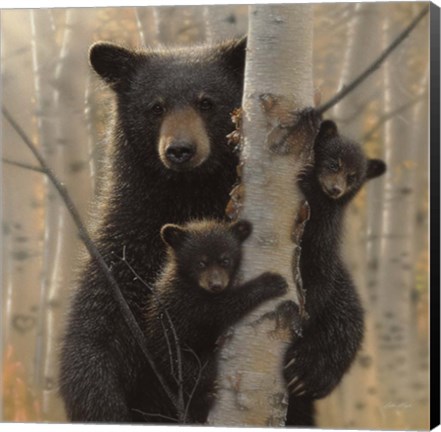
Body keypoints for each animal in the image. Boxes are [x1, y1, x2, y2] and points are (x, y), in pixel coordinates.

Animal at [139, 219, 288, 422]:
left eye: (225, 260)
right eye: (201, 263)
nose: (216, 285)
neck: (191, 283)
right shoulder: (186, 301)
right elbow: (220, 309)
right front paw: (270, 283)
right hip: (174, 356)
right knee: (194, 373)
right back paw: (206, 394)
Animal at [284, 120, 384, 426]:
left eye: (353, 176)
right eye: (332, 163)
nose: (336, 189)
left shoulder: (324, 240)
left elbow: (319, 278)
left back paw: (304, 374)